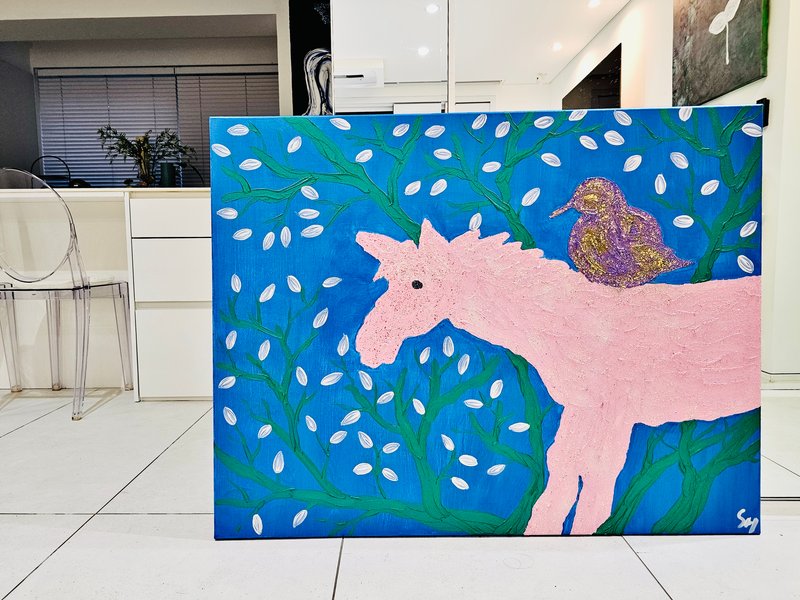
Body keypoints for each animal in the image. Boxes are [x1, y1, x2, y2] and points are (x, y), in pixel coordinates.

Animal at [354, 219, 760, 535]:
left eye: (417, 284)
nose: (366, 345)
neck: (568, 327)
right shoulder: (580, 408)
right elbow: (563, 469)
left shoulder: (614, 413)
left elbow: (594, 477)